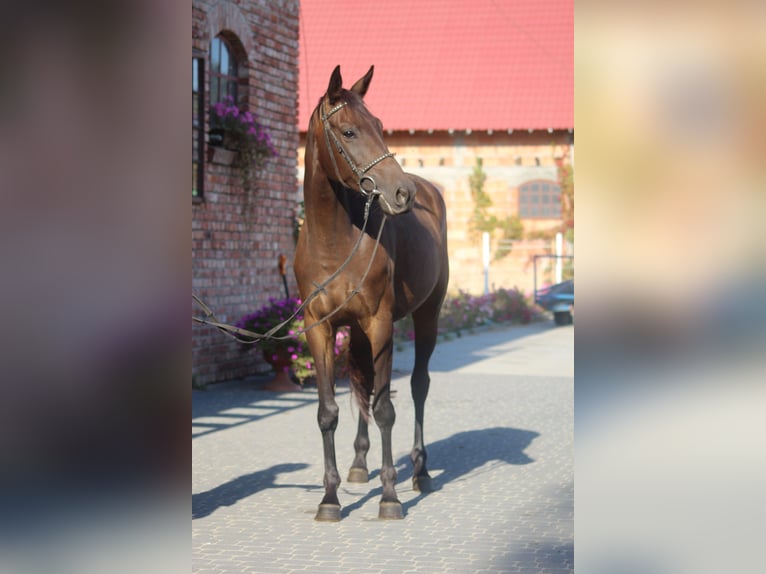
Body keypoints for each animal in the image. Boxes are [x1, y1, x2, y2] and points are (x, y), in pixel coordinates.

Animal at [294, 66, 450, 520]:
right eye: (348, 131)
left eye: (380, 126)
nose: (402, 194)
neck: (334, 242)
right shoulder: (320, 328)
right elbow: (328, 411)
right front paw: (329, 500)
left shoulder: (381, 323)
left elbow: (384, 408)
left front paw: (390, 497)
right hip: (358, 333)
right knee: (361, 384)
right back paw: (360, 465)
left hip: (426, 316)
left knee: (417, 385)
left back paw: (420, 472)